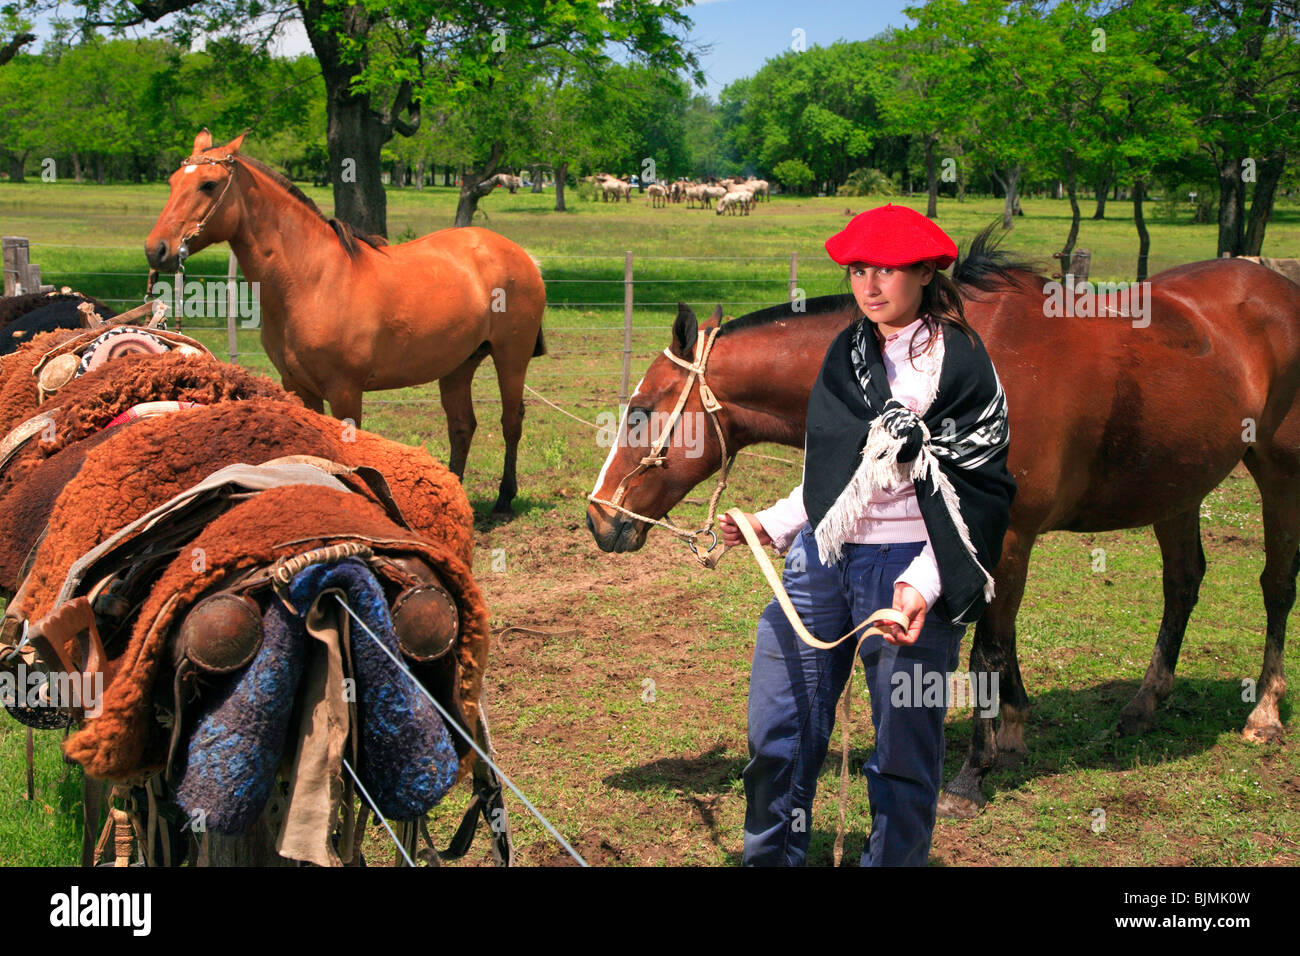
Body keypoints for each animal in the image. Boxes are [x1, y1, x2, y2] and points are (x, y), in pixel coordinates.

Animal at [144, 130, 547, 513]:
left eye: (208, 184)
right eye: (173, 181)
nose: (156, 249)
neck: (314, 279)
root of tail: (520, 254)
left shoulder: (345, 391)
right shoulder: (299, 387)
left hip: (511, 359)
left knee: (511, 423)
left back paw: (505, 498)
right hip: (458, 366)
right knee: (462, 426)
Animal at [586, 233, 1300, 818]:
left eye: (641, 410)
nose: (600, 520)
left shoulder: (1003, 535)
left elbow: (987, 648)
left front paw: (971, 775)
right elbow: (1002, 642)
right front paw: (1012, 734)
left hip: (1277, 470)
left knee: (1275, 585)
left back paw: (1264, 712)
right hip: (1177, 486)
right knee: (1183, 583)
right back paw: (1145, 705)